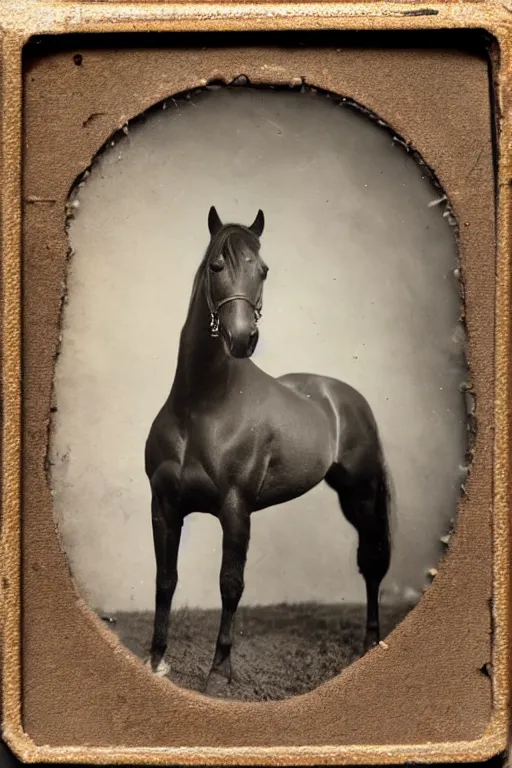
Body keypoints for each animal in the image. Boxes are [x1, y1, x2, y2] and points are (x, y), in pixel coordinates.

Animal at [144, 207, 392, 688]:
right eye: (216, 266)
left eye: (263, 270)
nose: (242, 338)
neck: (200, 406)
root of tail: (344, 397)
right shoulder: (163, 505)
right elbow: (165, 580)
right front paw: (156, 660)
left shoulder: (235, 508)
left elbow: (230, 582)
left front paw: (220, 670)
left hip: (361, 495)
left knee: (371, 561)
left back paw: (371, 642)